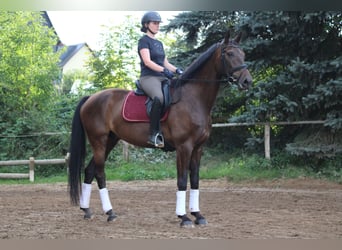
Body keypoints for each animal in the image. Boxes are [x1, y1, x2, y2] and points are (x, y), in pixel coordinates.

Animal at [68, 30, 252, 228]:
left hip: (110, 140)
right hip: (99, 141)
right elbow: (182, 180)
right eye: (230, 54)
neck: (193, 99)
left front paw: (198, 215)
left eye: (243, 54)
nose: (247, 81)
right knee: (100, 173)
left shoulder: (198, 148)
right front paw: (184, 217)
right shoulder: (184, 147)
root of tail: (91, 98)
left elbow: (195, 180)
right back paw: (110, 213)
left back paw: (87, 210)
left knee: (90, 171)